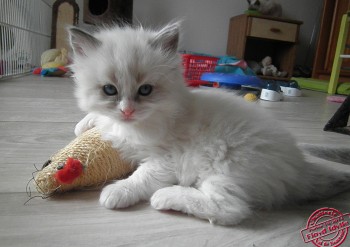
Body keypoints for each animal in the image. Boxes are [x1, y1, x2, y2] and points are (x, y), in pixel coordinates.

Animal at [68, 23, 350, 226]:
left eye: (145, 90)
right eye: (109, 90)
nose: (127, 111)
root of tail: (298, 168)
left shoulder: (165, 160)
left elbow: (140, 177)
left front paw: (118, 191)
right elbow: (97, 119)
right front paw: (85, 124)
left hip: (223, 167)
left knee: (231, 210)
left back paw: (165, 196)